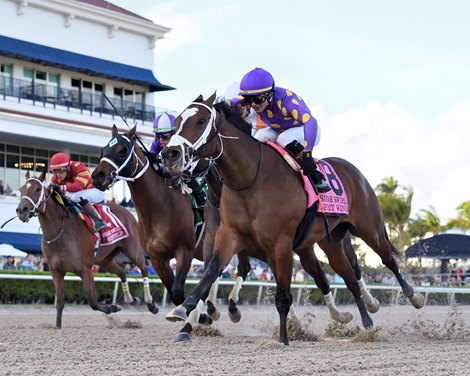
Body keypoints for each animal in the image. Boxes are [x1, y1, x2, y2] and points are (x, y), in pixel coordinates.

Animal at [15, 170, 156, 328]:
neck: (60, 232)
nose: (21, 210)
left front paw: (112, 307)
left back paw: (150, 303)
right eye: (22, 189)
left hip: (133, 250)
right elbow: (60, 302)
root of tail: (127, 211)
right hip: (104, 259)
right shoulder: (56, 270)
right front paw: (57, 326)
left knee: (143, 268)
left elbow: (93, 302)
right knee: (122, 271)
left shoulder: (85, 270)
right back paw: (131, 299)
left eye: (38, 189)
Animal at [92, 126, 204, 308]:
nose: (98, 176)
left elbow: (178, 291)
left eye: (122, 150)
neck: (161, 207)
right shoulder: (157, 258)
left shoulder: (185, 250)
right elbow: (173, 293)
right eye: (103, 150)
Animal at [161, 93, 422, 344]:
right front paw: (183, 311)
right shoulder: (229, 236)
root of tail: (353, 171)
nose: (169, 154)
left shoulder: (281, 244)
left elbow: (283, 296)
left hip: (370, 230)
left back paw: (413, 297)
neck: (251, 179)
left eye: (201, 120)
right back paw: (367, 323)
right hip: (332, 242)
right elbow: (210, 273)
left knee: (388, 260)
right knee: (348, 279)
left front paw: (284, 339)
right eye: (177, 122)